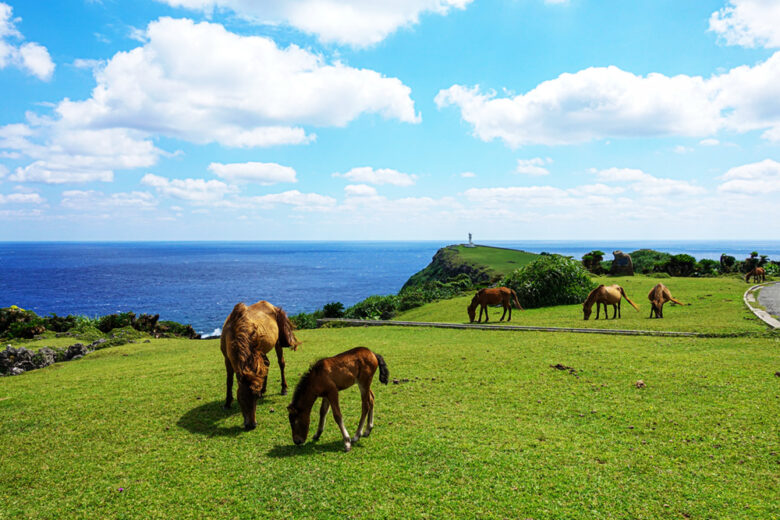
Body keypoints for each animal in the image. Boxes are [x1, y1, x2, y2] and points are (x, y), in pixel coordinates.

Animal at [224, 300, 304, 430]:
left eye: (255, 398)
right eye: (241, 398)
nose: (252, 425)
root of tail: (272, 306)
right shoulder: (227, 358)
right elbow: (229, 381)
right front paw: (227, 402)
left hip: (277, 343)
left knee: (281, 363)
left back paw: (283, 389)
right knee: (266, 364)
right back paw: (264, 388)